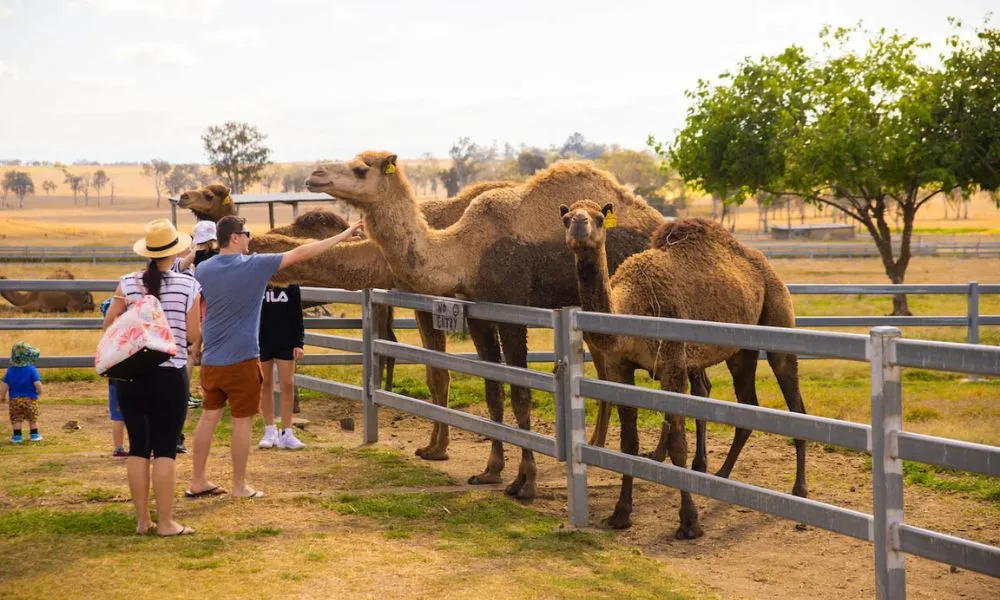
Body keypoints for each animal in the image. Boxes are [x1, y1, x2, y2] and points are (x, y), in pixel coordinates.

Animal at [305, 151, 692, 500]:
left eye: (360, 168)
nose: (314, 174)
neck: (466, 252)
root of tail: (659, 223)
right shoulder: (478, 313)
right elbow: (493, 389)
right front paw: (490, 470)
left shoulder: (512, 312)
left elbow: (520, 393)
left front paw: (525, 483)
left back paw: (663, 459)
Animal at [560, 200, 808, 538]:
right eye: (565, 219)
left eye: (599, 218)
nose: (579, 227)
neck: (632, 305)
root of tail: (764, 264)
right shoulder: (621, 368)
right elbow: (628, 443)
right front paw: (620, 514)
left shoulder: (673, 364)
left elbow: (678, 444)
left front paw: (689, 523)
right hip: (740, 349)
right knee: (747, 404)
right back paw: (721, 474)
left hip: (778, 314)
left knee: (795, 403)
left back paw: (799, 492)